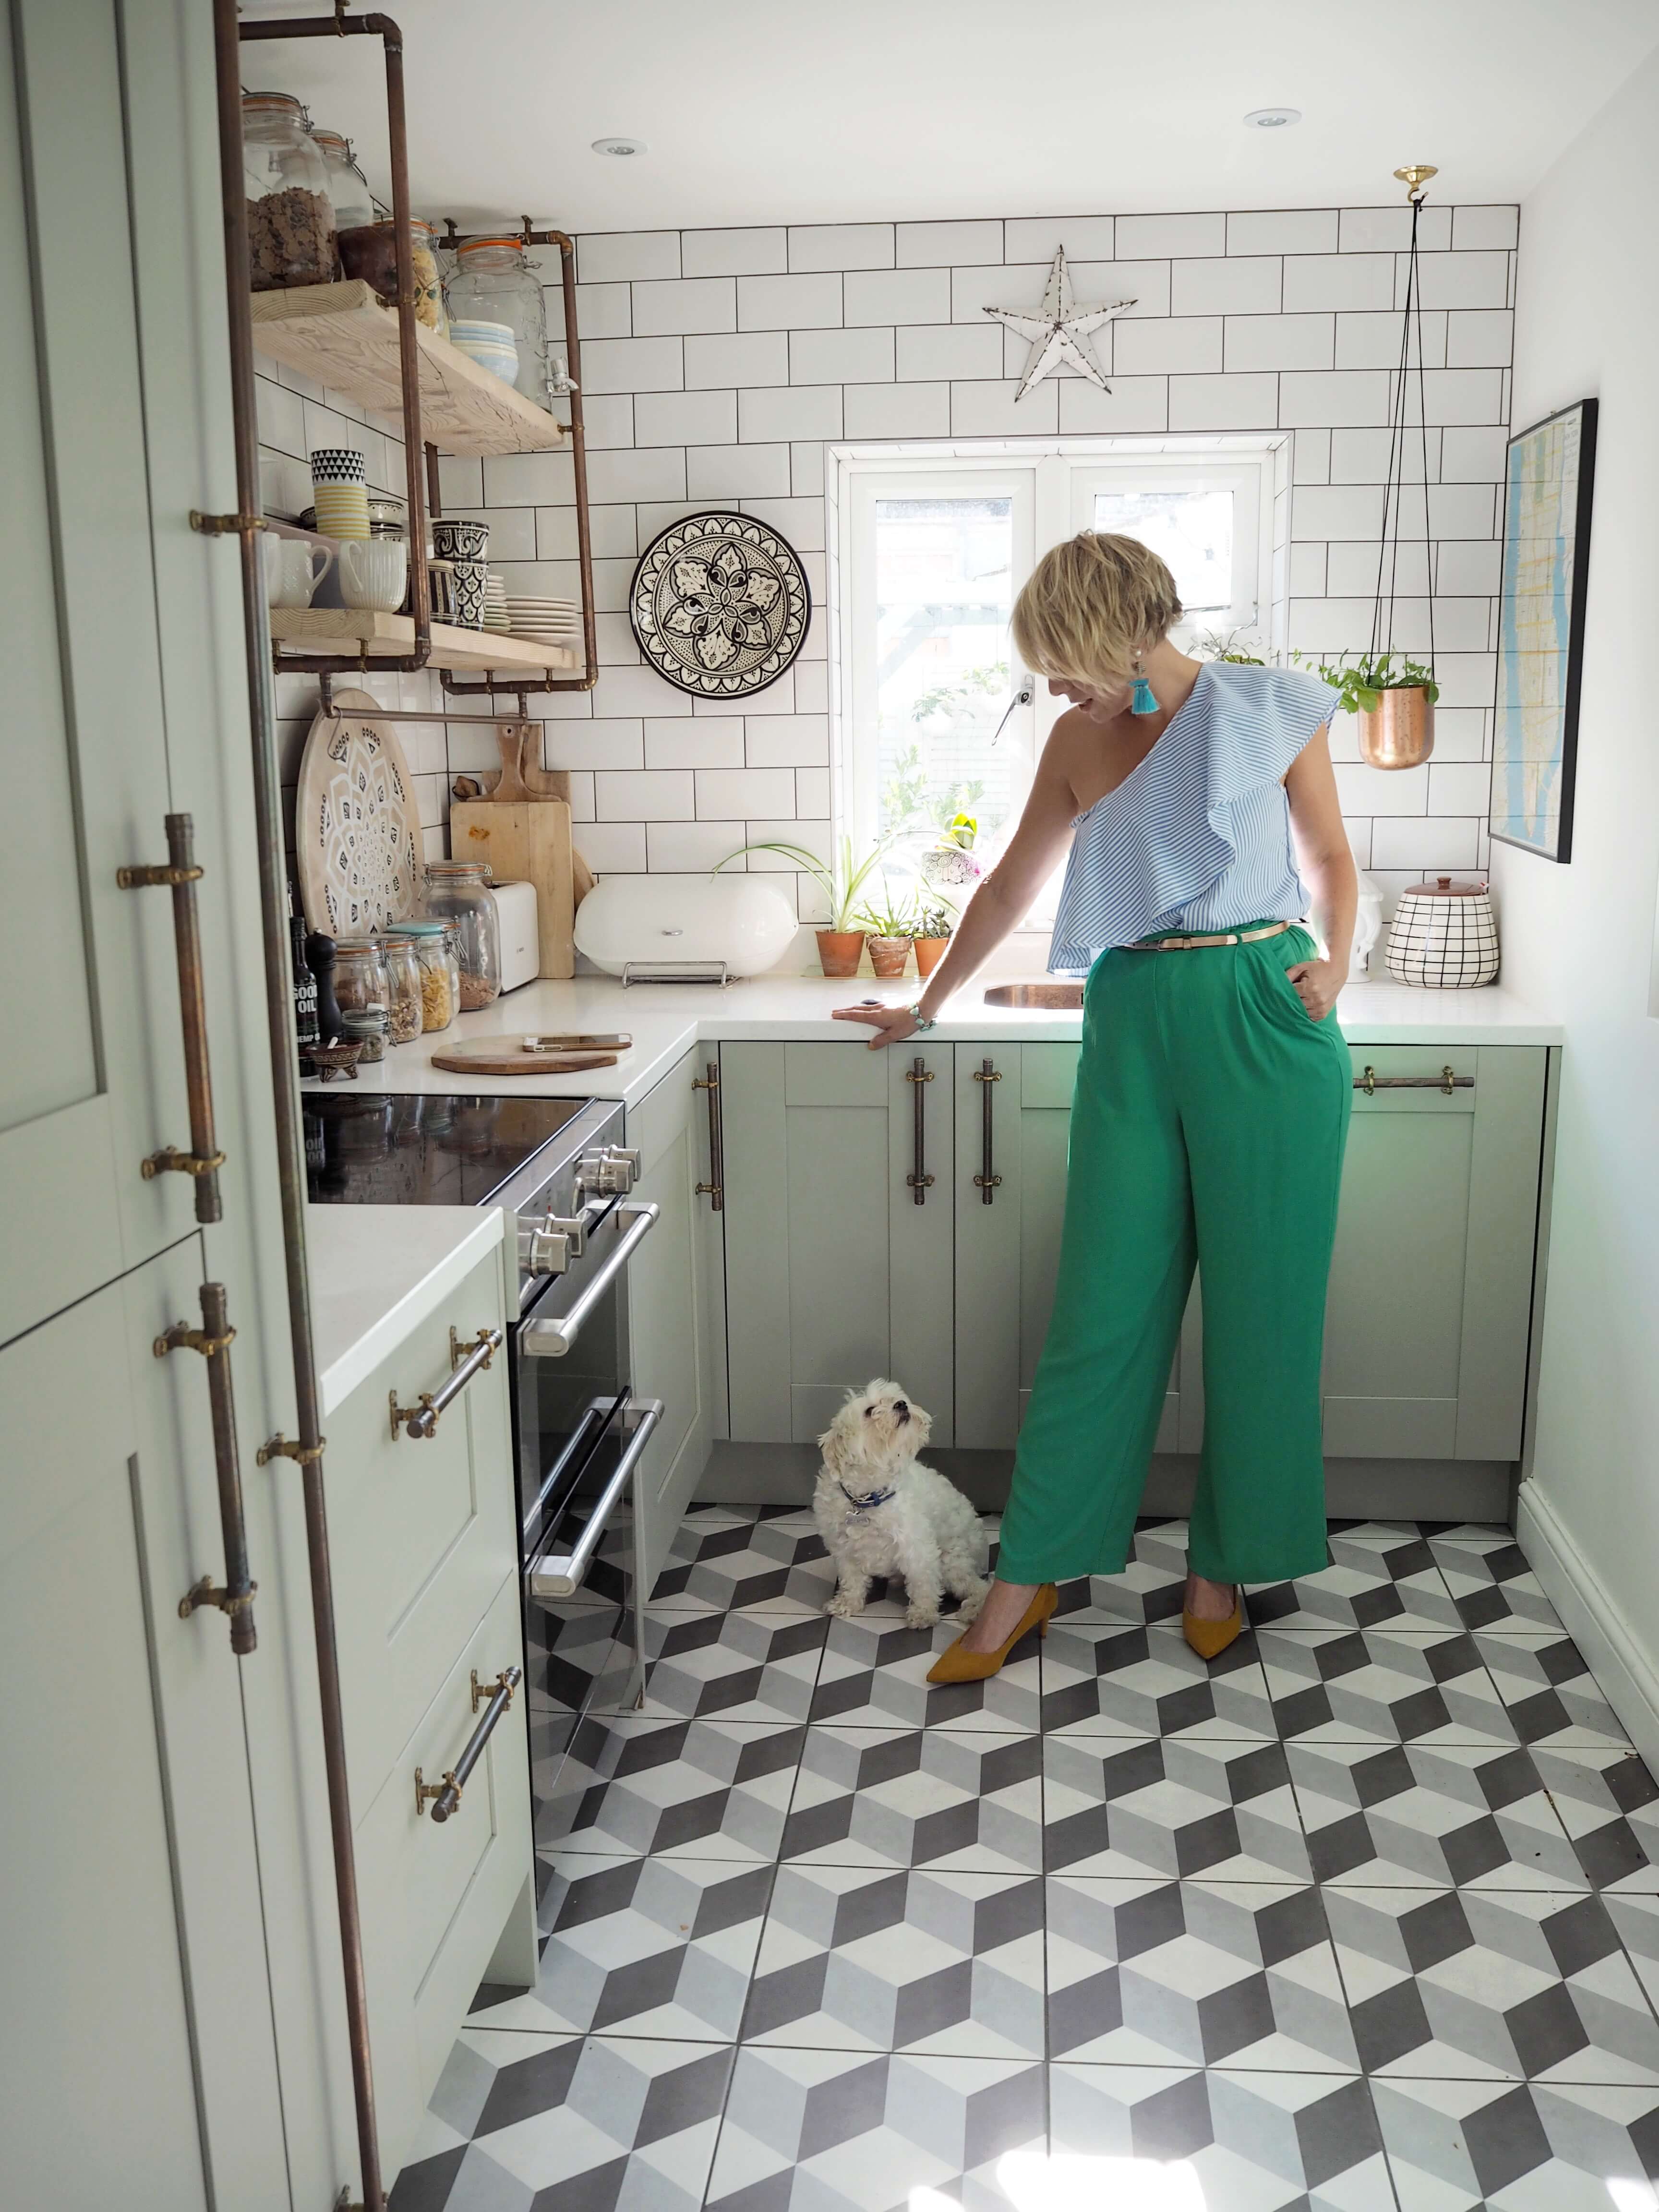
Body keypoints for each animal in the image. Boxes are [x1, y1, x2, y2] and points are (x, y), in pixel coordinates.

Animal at [814, 1380, 986, 1628]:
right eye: (869, 1410)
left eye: (896, 1397)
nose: (902, 1404)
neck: (868, 1499)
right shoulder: (843, 1549)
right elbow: (852, 1580)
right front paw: (846, 1604)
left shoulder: (917, 1547)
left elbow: (923, 1583)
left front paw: (924, 1613)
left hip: (953, 1562)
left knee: (981, 1587)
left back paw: (974, 1611)